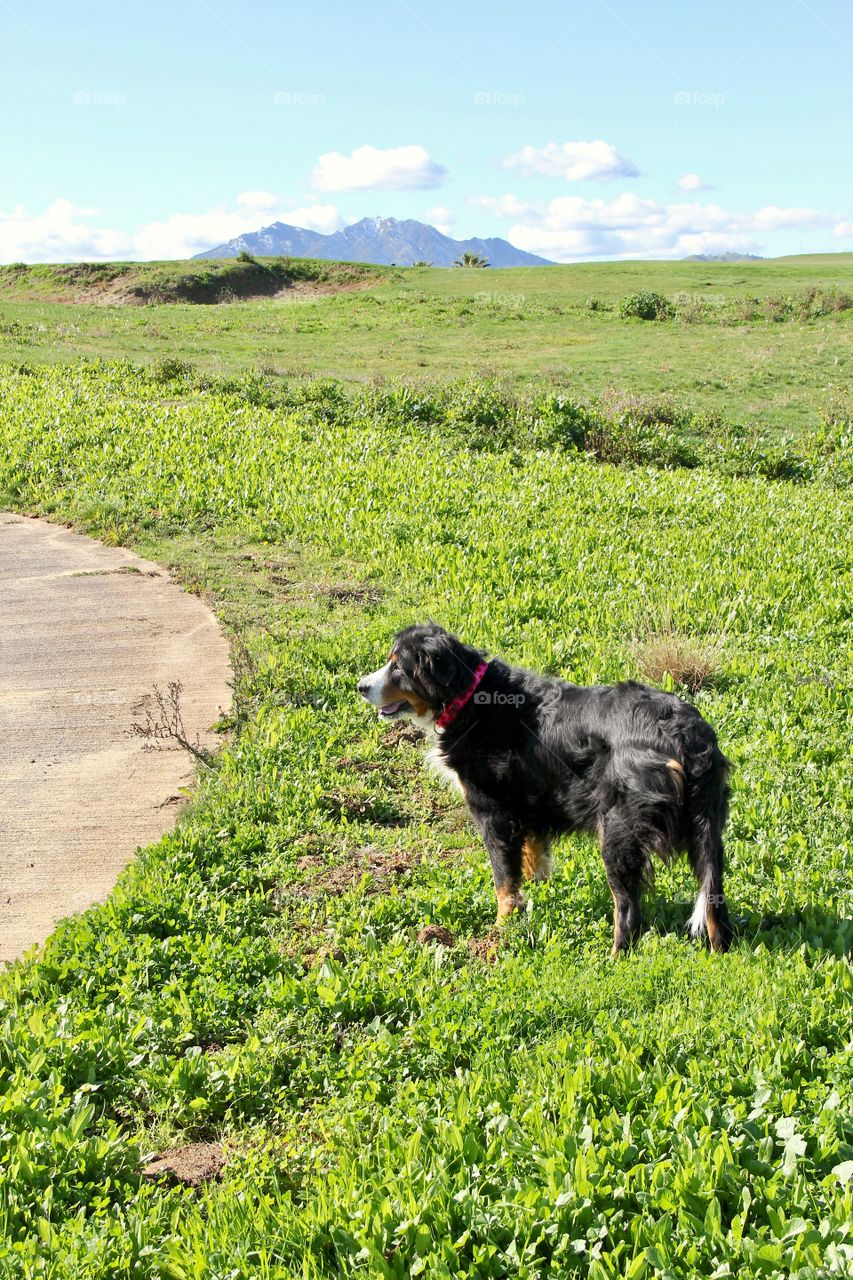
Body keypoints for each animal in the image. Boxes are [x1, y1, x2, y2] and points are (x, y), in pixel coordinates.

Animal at [358, 619, 732, 952]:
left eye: (398, 667)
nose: (361, 686)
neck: (470, 698)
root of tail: (684, 733)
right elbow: (530, 862)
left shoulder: (494, 814)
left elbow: (504, 883)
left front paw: (500, 931)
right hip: (708, 830)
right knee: (714, 900)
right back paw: (719, 952)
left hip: (617, 829)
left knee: (628, 909)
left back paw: (614, 957)